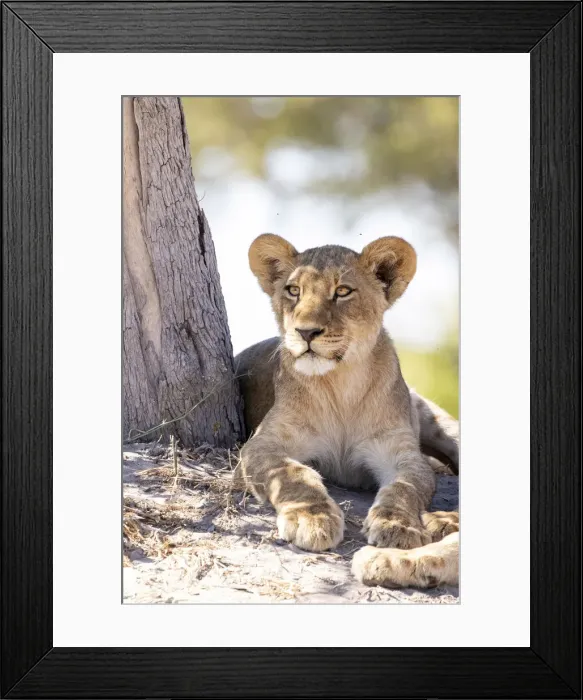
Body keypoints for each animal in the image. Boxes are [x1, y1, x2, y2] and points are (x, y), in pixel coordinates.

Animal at [234, 233, 459, 588]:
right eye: (293, 290)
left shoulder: (401, 452)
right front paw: (311, 518)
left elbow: (404, 488)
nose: (306, 332)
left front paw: (397, 526)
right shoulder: (259, 446)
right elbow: (293, 474)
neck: (341, 386)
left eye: (342, 291)